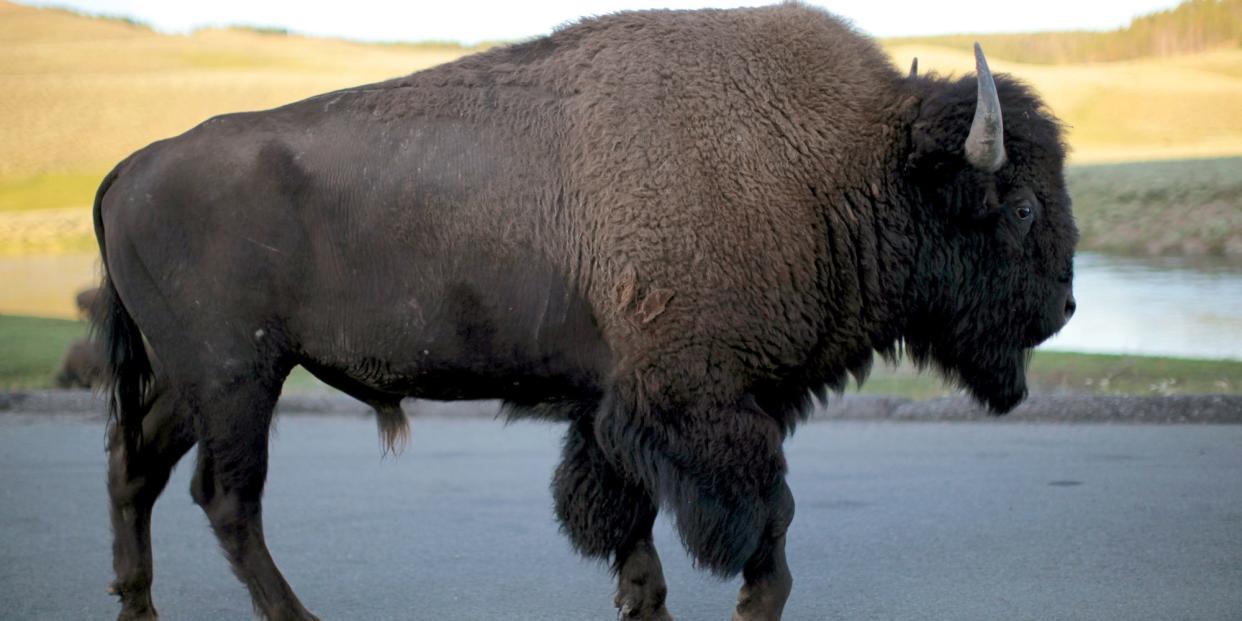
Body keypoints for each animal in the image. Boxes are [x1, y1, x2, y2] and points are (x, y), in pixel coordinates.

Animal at [94, 4, 1078, 621]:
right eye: (1024, 207)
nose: (1067, 305)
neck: (836, 165)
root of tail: (128, 168)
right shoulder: (701, 403)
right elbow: (763, 517)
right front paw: (747, 601)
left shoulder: (613, 408)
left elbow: (619, 515)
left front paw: (643, 601)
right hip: (238, 378)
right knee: (226, 497)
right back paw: (296, 615)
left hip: (189, 382)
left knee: (136, 471)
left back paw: (139, 603)